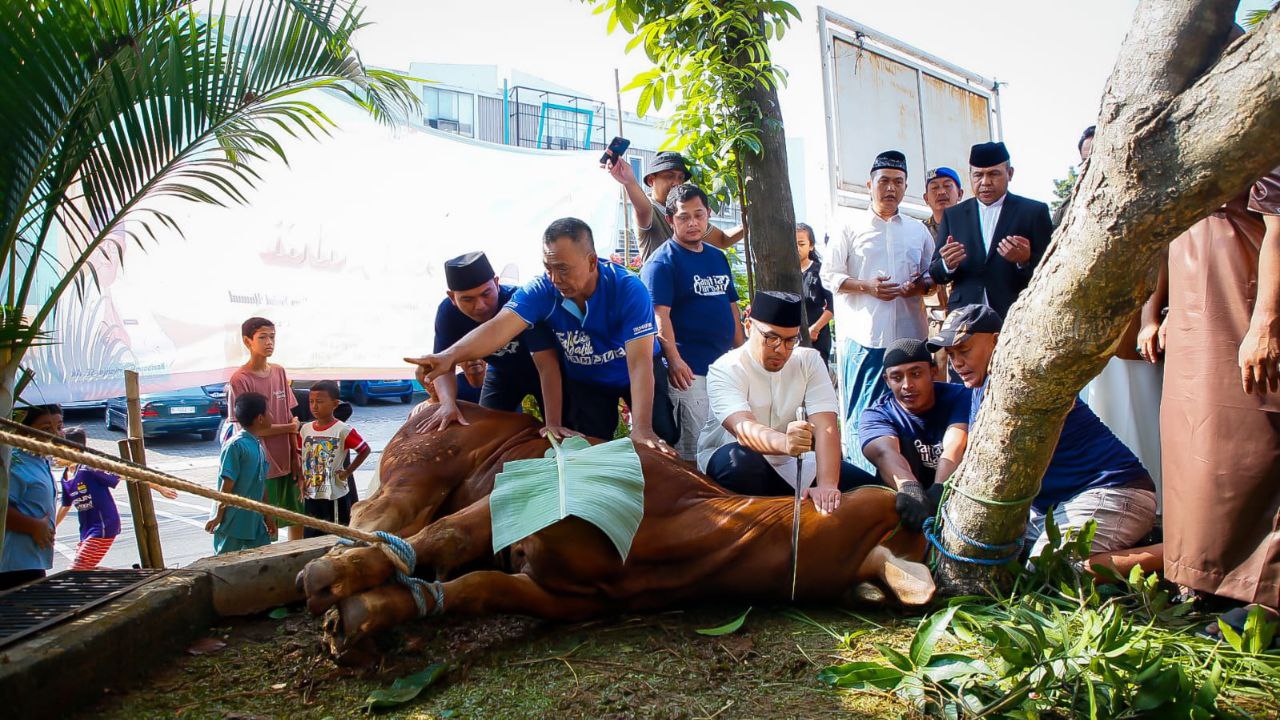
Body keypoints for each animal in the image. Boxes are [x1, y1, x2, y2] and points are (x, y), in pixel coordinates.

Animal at [299, 399, 936, 653]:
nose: (913, 500)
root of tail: (432, 401)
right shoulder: (536, 489)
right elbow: (446, 536)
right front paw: (335, 583)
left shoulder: (550, 594)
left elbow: (469, 589)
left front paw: (365, 612)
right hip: (418, 471)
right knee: (375, 517)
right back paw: (332, 560)